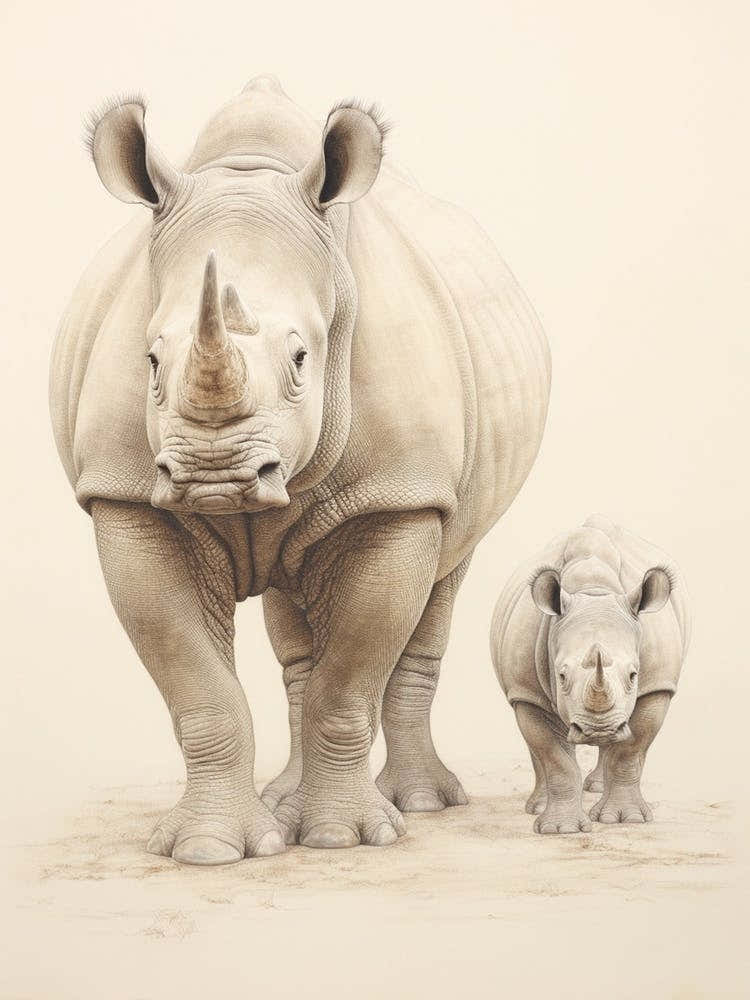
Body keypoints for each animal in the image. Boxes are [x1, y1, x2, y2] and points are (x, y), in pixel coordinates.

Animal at [50, 75, 550, 864]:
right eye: (152, 361)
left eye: (301, 359)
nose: (216, 474)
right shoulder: (124, 494)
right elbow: (198, 684)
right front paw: (208, 851)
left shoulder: (399, 495)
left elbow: (348, 682)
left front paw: (344, 839)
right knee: (295, 619)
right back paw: (286, 802)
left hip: (445, 487)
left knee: (442, 579)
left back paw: (420, 804)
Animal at [491, 515, 690, 833]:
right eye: (561, 676)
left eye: (634, 675)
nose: (599, 729)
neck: (594, 590)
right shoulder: (525, 692)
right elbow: (555, 758)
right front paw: (560, 829)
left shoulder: (657, 686)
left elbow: (629, 750)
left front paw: (625, 819)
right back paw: (537, 807)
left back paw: (600, 789)